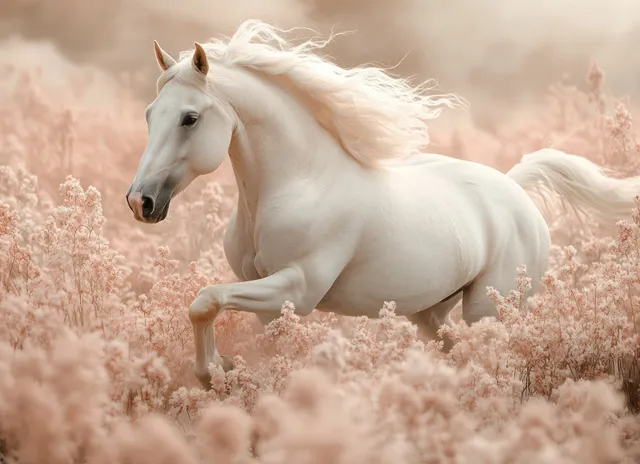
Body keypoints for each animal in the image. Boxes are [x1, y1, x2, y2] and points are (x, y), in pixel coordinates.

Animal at [126, 20, 640, 390]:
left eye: (190, 118)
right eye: (150, 114)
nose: (140, 201)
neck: (300, 182)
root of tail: (516, 190)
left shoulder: (297, 288)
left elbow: (204, 300)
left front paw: (216, 370)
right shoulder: (269, 304)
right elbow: (225, 320)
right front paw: (226, 374)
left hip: (491, 310)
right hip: (430, 314)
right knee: (455, 350)